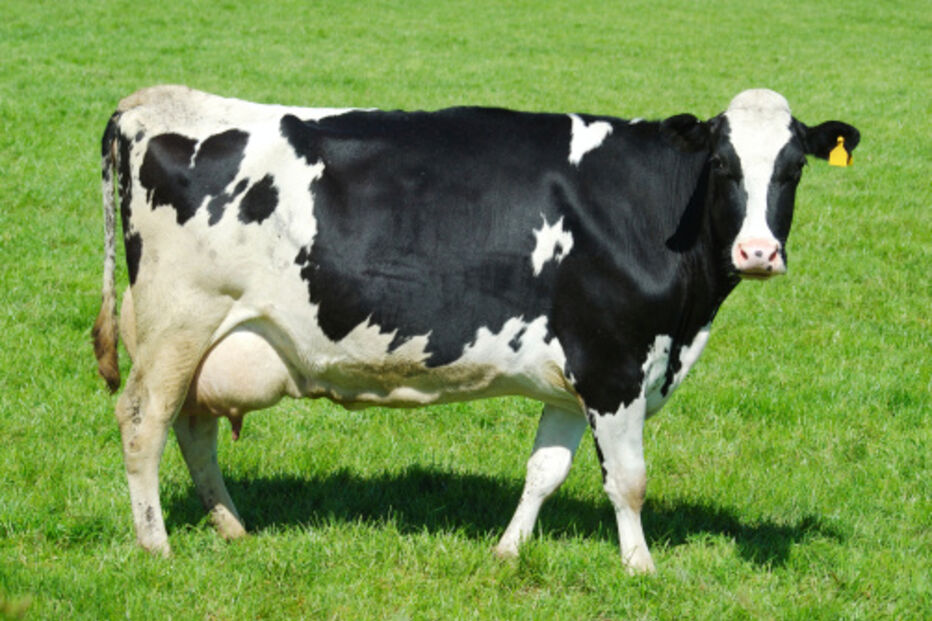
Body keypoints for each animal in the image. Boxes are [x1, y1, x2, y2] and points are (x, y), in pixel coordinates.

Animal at [93, 85, 859, 572]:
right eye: (722, 165)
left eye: (793, 169)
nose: (757, 252)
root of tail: (152, 101)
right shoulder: (614, 364)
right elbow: (629, 481)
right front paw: (640, 567)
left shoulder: (572, 377)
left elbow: (544, 471)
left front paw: (507, 552)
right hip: (177, 323)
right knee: (143, 421)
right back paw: (156, 546)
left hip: (204, 339)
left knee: (192, 427)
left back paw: (231, 527)